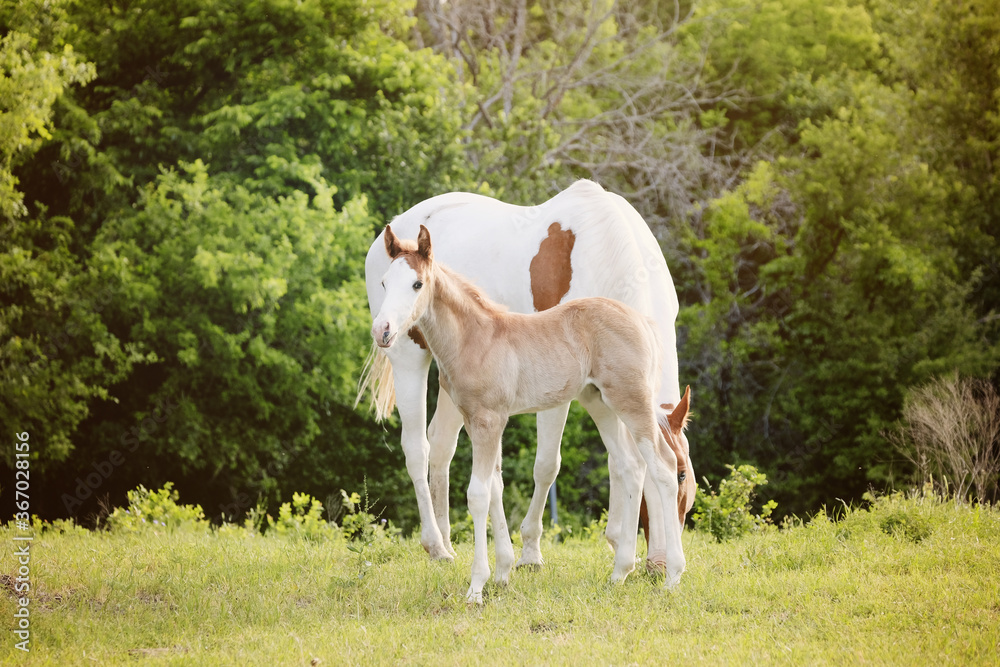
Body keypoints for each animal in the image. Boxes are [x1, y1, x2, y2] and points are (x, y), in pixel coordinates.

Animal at [356, 180, 694, 572]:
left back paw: (448, 543)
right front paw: (530, 551)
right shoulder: (560, 393)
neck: (604, 248)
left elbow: (617, 462)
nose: (659, 562)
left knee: (441, 446)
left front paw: (616, 543)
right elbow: (547, 465)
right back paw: (435, 544)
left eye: (684, 474)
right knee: (417, 449)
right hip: (409, 358)